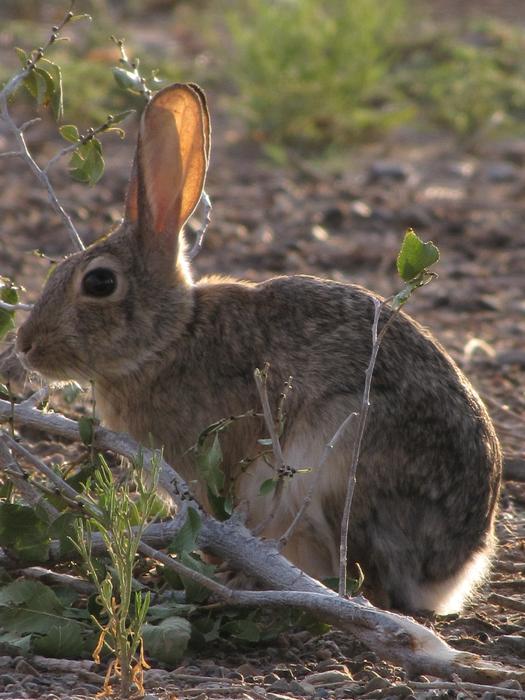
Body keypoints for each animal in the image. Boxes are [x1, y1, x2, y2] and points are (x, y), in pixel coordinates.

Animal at [16, 84, 501, 614]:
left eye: (100, 283)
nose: (24, 346)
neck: (171, 337)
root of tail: (452, 568)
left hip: (338, 461)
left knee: (365, 584)